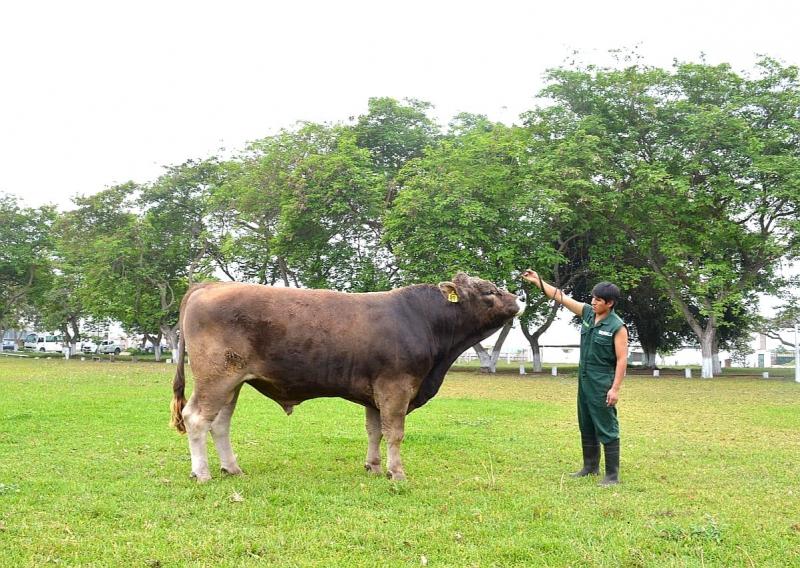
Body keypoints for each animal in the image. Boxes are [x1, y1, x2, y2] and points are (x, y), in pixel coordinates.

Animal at [169, 272, 524, 482]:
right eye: (489, 291)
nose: (518, 300)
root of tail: (208, 285)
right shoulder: (396, 387)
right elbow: (395, 433)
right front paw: (397, 472)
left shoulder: (375, 393)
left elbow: (374, 431)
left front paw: (374, 466)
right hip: (216, 377)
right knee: (196, 418)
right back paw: (202, 473)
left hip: (233, 382)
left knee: (220, 423)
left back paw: (232, 467)